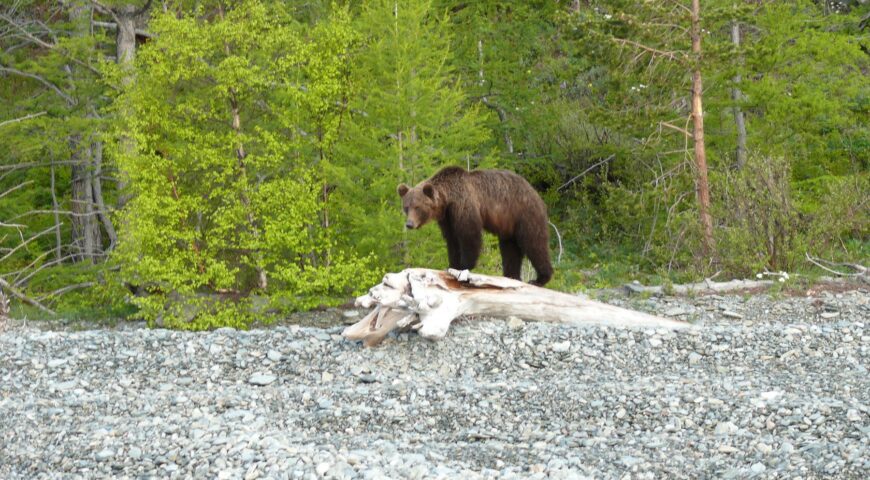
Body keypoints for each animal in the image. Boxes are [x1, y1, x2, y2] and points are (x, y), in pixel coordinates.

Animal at [397, 166, 553, 286]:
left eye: (418, 207)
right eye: (406, 207)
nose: (409, 224)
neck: (448, 200)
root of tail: (535, 192)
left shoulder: (464, 205)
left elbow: (469, 235)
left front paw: (464, 266)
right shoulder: (448, 218)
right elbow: (452, 241)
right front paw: (452, 265)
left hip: (524, 214)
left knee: (534, 242)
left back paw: (539, 279)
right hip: (509, 225)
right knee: (510, 249)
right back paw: (511, 275)